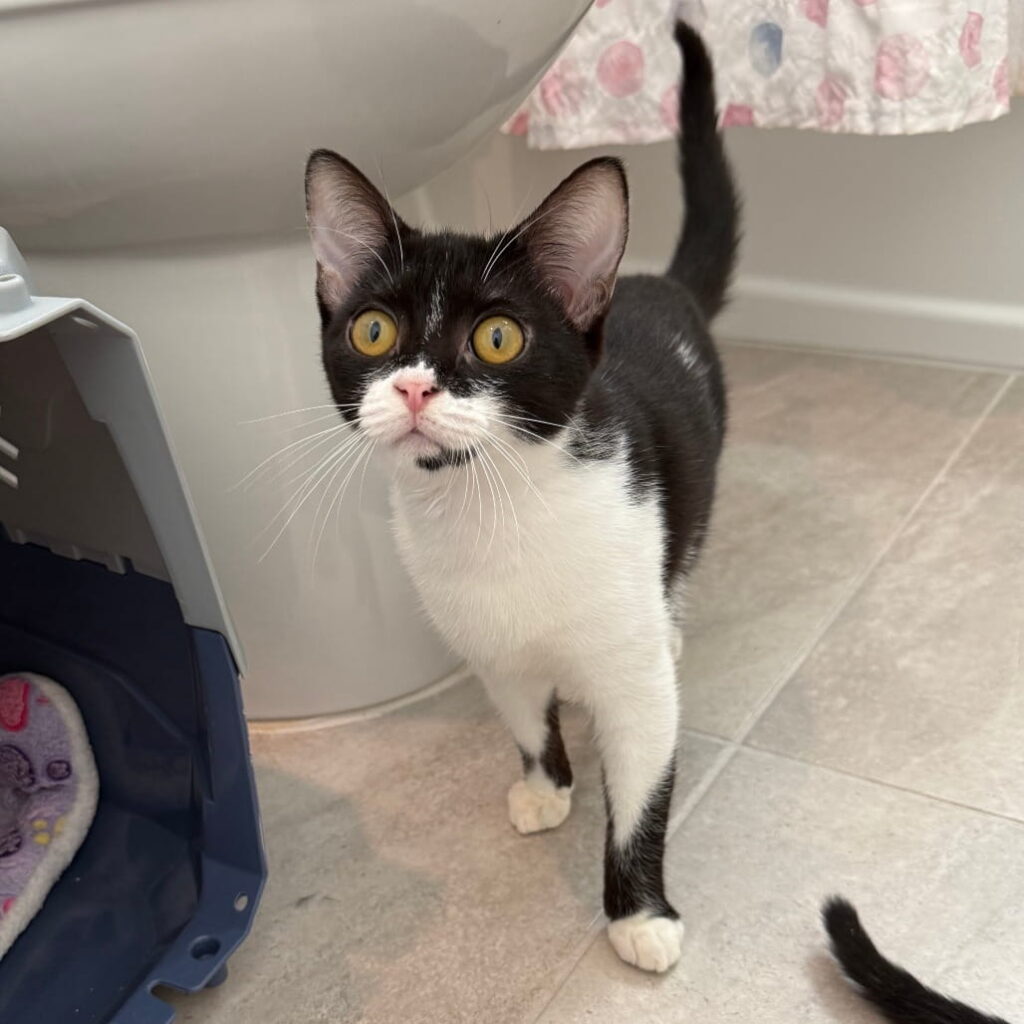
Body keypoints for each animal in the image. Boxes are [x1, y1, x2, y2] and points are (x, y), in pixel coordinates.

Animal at [303, 22, 739, 973]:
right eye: (373, 330)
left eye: (498, 337)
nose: (416, 387)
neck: (495, 511)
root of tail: (655, 282)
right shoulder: (486, 641)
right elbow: (523, 713)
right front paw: (545, 784)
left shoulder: (633, 679)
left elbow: (644, 782)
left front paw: (639, 914)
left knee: (684, 555)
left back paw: (674, 619)